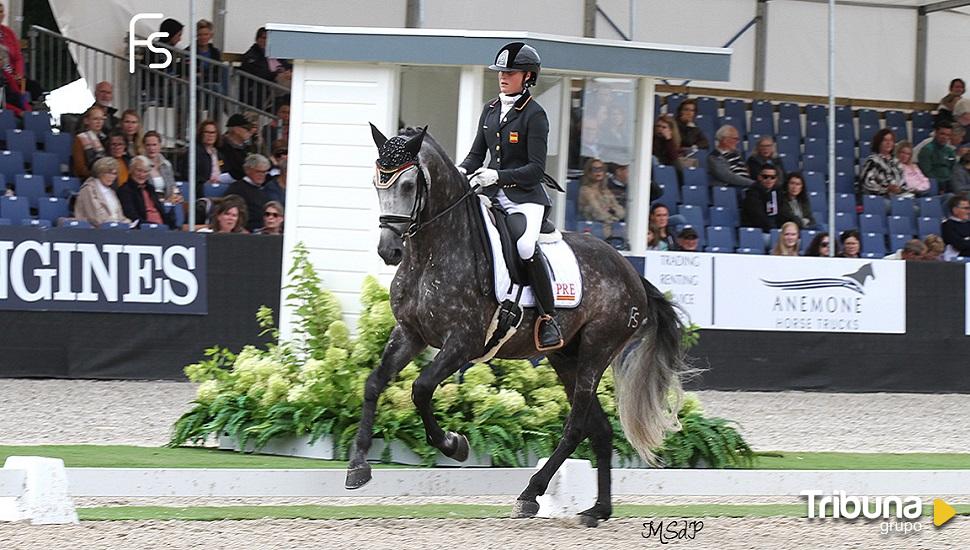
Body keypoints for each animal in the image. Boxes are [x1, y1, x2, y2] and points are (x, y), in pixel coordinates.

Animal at [342, 125, 688, 528]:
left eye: (410, 184)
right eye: (377, 183)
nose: (389, 251)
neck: (432, 253)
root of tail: (631, 272)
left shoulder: (462, 342)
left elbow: (421, 388)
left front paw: (454, 445)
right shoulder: (410, 334)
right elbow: (373, 383)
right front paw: (358, 467)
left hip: (596, 350)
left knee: (575, 427)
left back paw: (530, 494)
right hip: (565, 358)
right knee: (598, 430)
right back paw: (596, 510)